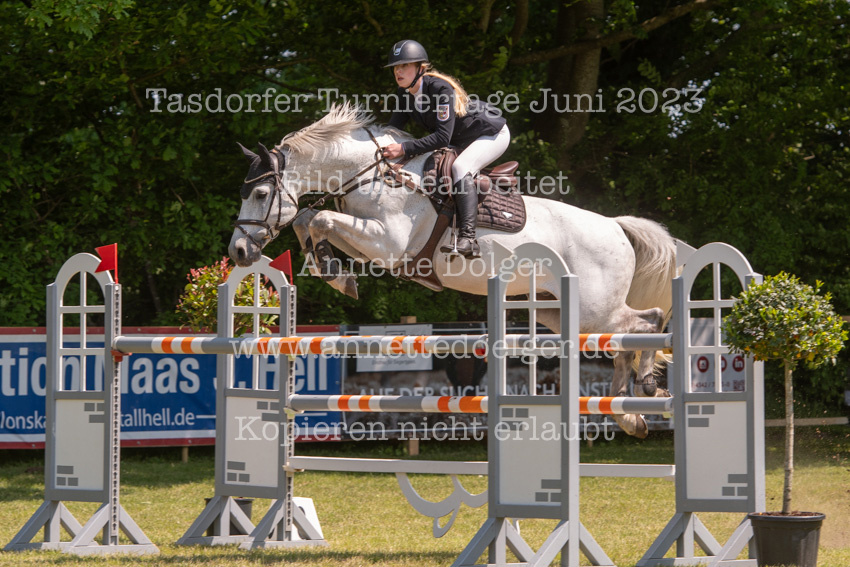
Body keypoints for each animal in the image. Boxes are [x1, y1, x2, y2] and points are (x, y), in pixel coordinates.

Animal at [228, 104, 678, 438]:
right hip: (560, 310)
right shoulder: (373, 242)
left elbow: (317, 217)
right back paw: (629, 414)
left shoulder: (388, 243)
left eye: (261, 193)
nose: (238, 251)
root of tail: (617, 226)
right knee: (623, 338)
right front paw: (330, 267)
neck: (372, 175)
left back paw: (646, 387)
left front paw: (336, 274)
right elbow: (308, 218)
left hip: (593, 307)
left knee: (648, 321)